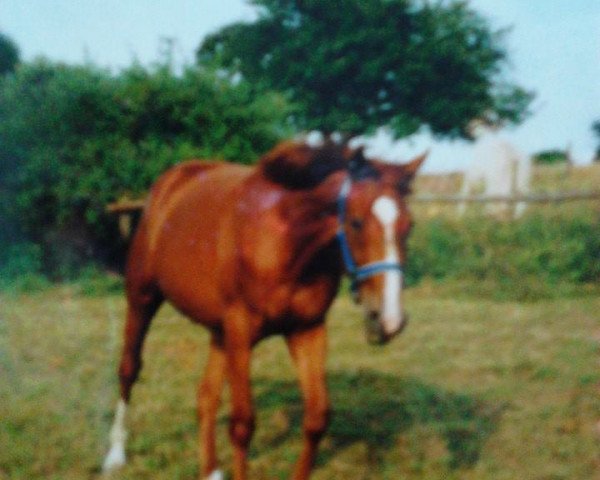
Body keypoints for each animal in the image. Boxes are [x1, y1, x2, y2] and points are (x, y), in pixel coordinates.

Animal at [103, 141, 424, 478]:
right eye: (356, 222)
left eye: (409, 225)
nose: (389, 320)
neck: (285, 243)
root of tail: (169, 183)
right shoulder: (241, 331)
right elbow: (242, 426)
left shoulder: (306, 330)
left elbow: (316, 419)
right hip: (142, 298)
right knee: (129, 369)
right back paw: (115, 455)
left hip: (220, 332)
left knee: (206, 396)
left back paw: (211, 470)